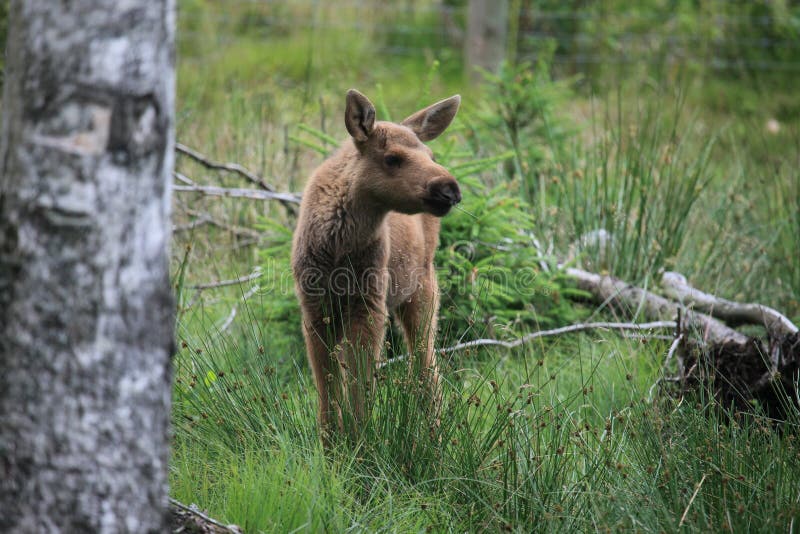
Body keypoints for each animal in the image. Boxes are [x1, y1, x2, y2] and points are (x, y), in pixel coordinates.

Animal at [292, 89, 462, 448]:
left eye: (430, 154)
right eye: (392, 158)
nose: (450, 189)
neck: (337, 253)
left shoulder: (369, 304)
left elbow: (361, 383)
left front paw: (360, 443)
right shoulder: (314, 308)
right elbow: (328, 386)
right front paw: (330, 446)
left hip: (422, 288)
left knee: (425, 365)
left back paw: (436, 437)